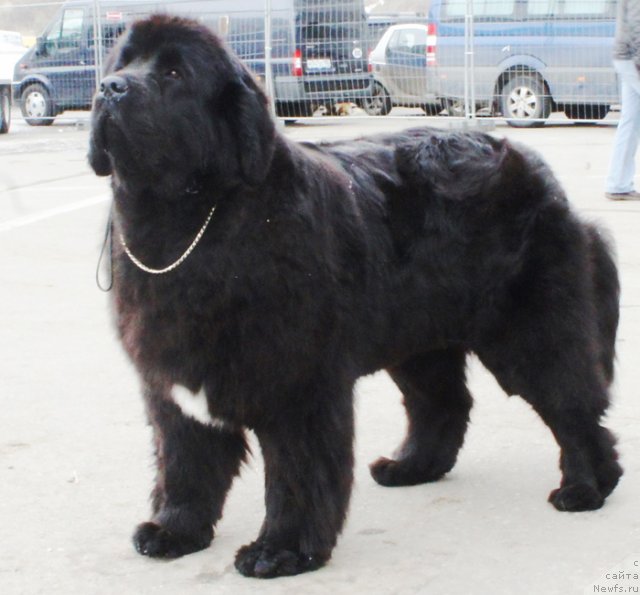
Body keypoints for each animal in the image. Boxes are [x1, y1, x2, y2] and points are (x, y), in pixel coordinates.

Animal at [90, 16, 620, 580]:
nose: (109, 89)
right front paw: (175, 530)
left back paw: (586, 487)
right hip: (419, 336)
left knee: (572, 405)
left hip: (529, 333)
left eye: (174, 73)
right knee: (444, 402)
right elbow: (185, 463)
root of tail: (538, 170)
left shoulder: (298, 385)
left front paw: (281, 549)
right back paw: (411, 467)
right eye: (123, 63)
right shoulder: (173, 381)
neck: (190, 227)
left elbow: (297, 472)